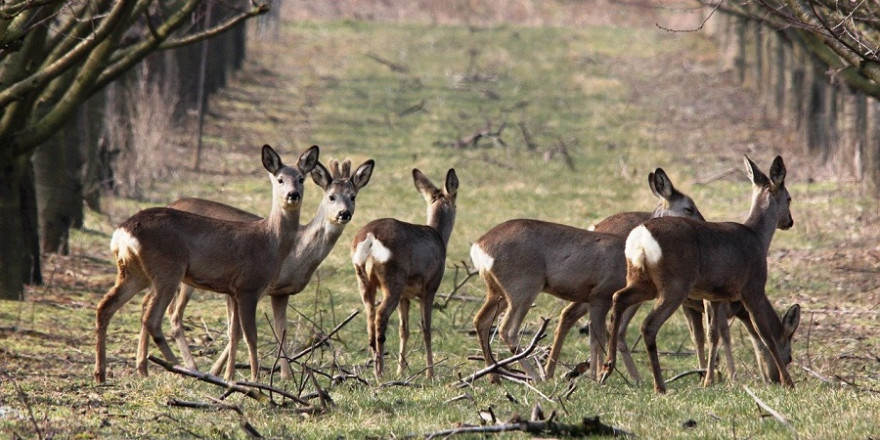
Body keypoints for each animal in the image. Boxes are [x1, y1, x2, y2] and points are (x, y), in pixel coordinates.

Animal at [94, 144, 320, 382]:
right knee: (152, 318)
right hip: (168, 269)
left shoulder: (233, 290)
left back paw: (101, 374)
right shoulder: (248, 286)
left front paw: (231, 377)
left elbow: (235, 333)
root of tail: (123, 231)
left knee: (105, 307)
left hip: (134, 271)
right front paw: (254, 379)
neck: (270, 242)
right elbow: (251, 336)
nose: (293, 195)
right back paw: (184, 369)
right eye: (280, 179)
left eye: (301, 178)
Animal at [166, 157, 374, 378]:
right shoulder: (245, 287)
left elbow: (280, 330)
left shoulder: (281, 292)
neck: (296, 254)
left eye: (353, 197)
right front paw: (219, 371)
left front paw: (286, 376)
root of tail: (171, 202)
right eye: (331, 197)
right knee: (174, 313)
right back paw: (191, 367)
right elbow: (237, 332)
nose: (344, 213)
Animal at [350, 167, 460, 380]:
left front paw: (401, 370)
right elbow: (426, 328)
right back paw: (380, 372)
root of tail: (370, 239)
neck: (439, 237)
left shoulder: (405, 295)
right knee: (380, 317)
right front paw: (430, 373)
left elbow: (404, 329)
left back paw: (376, 368)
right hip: (393, 279)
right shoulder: (430, 287)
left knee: (370, 317)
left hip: (364, 280)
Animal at [470, 168, 704, 382]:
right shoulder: (601, 294)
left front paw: (596, 376)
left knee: (481, 321)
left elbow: (596, 336)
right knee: (507, 329)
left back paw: (496, 376)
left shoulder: (594, 298)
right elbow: (599, 336)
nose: (702, 224)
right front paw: (598, 377)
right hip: (523, 288)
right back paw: (536, 377)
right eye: (689, 207)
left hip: (497, 292)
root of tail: (479, 247)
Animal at [600, 155, 800, 392]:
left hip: (642, 280)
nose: (789, 222)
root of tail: (640, 236)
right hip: (675, 284)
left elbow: (712, 334)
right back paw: (659, 386)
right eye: (789, 198)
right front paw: (789, 382)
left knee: (618, 298)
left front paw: (708, 379)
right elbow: (766, 335)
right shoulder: (753, 288)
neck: (757, 237)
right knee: (648, 325)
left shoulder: (714, 295)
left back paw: (607, 368)